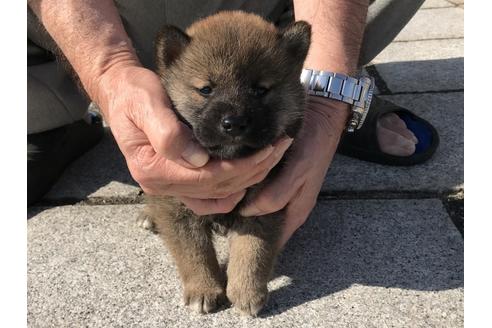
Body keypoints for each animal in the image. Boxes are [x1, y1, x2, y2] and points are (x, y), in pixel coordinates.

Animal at [140, 11, 312, 316]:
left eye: (260, 90)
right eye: (206, 89)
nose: (234, 123)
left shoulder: (266, 205)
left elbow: (252, 250)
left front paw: (246, 290)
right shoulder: (177, 204)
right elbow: (193, 252)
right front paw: (204, 288)